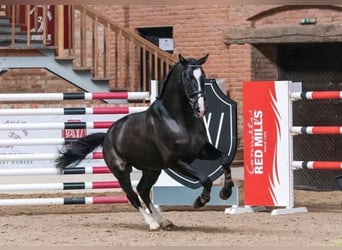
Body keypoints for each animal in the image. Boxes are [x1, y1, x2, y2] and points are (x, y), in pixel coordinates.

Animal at [56, 54, 235, 230]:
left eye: (203, 76)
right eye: (188, 77)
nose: (201, 109)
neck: (179, 119)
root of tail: (107, 135)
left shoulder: (201, 150)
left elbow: (225, 159)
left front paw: (226, 192)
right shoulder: (176, 162)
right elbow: (205, 179)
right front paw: (200, 201)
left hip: (152, 170)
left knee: (142, 190)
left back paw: (164, 221)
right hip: (121, 171)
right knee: (133, 195)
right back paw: (152, 223)